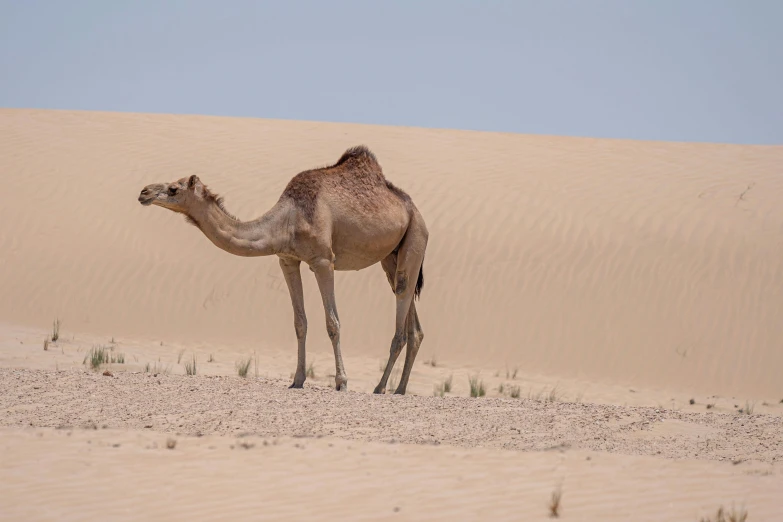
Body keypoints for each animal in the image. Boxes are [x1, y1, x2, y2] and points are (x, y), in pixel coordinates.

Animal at [136, 144, 428, 392]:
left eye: (174, 189)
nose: (143, 192)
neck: (288, 219)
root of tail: (414, 208)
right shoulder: (287, 259)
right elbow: (300, 322)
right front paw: (297, 380)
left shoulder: (323, 261)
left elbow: (332, 323)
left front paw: (342, 382)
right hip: (390, 256)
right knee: (410, 316)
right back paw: (399, 389)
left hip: (416, 237)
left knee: (402, 299)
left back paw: (380, 388)